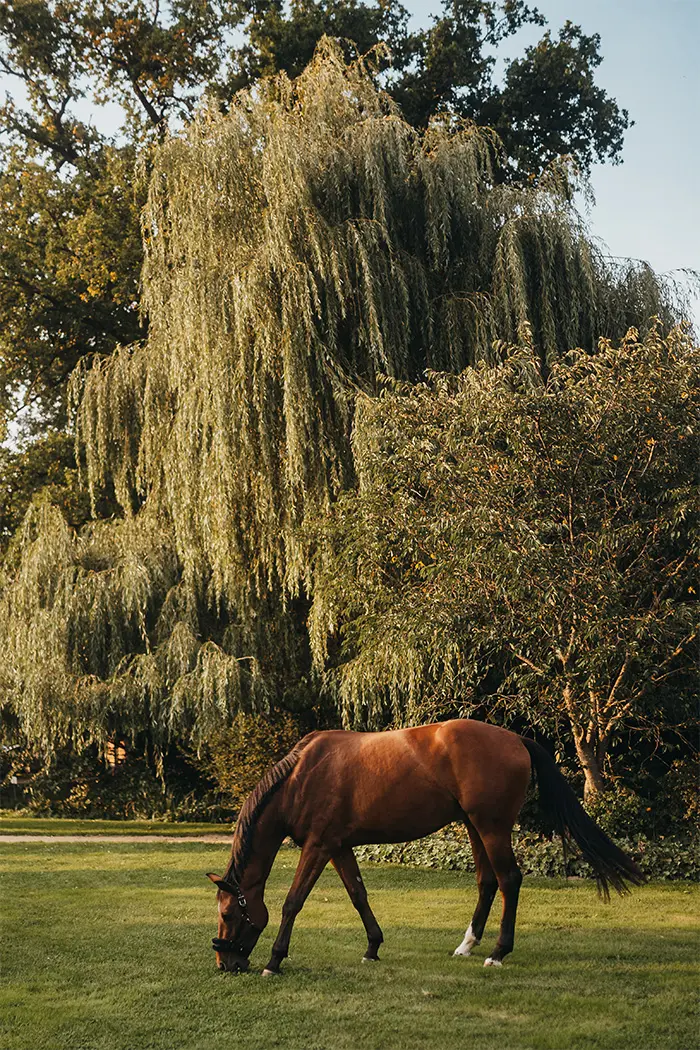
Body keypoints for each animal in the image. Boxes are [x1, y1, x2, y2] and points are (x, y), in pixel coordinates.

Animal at [206, 719, 644, 975]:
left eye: (228, 914)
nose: (225, 963)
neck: (301, 776)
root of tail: (516, 739)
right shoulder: (338, 846)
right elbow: (358, 895)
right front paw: (372, 947)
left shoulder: (318, 846)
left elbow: (293, 902)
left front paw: (275, 960)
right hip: (474, 827)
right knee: (487, 882)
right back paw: (467, 945)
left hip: (492, 827)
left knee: (509, 880)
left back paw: (498, 952)